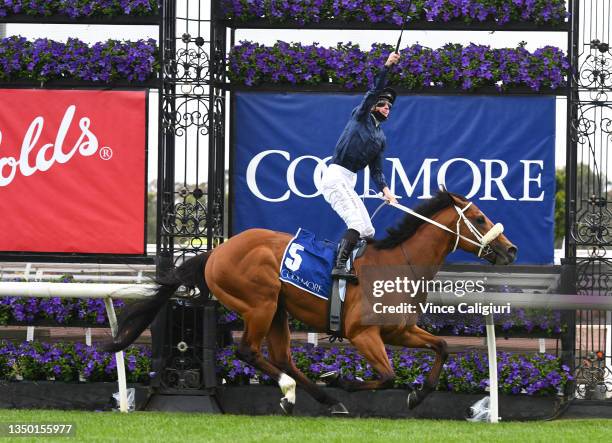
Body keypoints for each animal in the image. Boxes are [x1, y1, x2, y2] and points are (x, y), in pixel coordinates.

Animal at [105, 191, 516, 416]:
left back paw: (321, 398)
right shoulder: (362, 333)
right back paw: (296, 390)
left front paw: (417, 396)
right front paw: (345, 379)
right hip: (259, 304)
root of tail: (216, 251)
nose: (510, 250)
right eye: (479, 218)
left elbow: (443, 347)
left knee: (280, 356)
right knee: (248, 351)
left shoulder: (399, 330)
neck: (398, 264)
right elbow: (385, 375)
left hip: (278, 311)